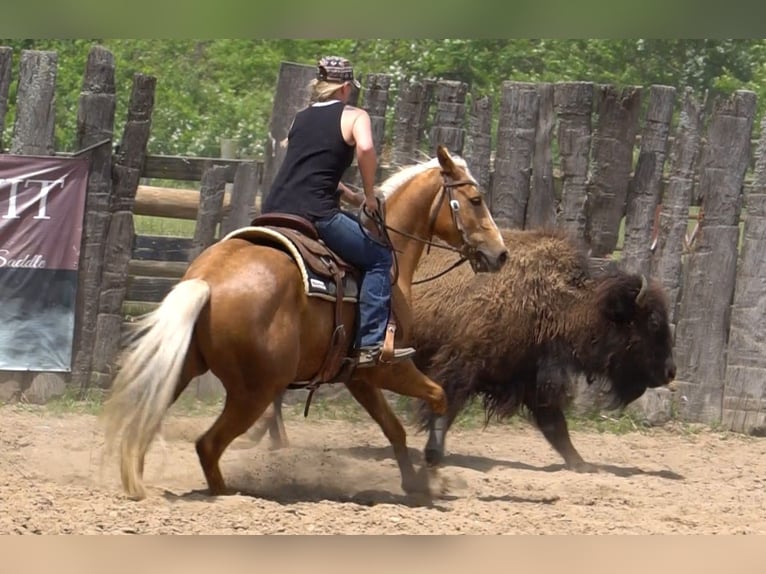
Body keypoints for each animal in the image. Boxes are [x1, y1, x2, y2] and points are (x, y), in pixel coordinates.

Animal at [101, 145, 509, 501]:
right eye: (476, 200)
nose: (500, 254)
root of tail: (207, 282)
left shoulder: (358, 376)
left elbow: (394, 429)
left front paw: (414, 484)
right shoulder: (388, 367)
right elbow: (438, 396)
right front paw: (433, 472)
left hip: (182, 370)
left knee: (147, 425)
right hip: (254, 391)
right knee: (208, 445)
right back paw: (230, 494)